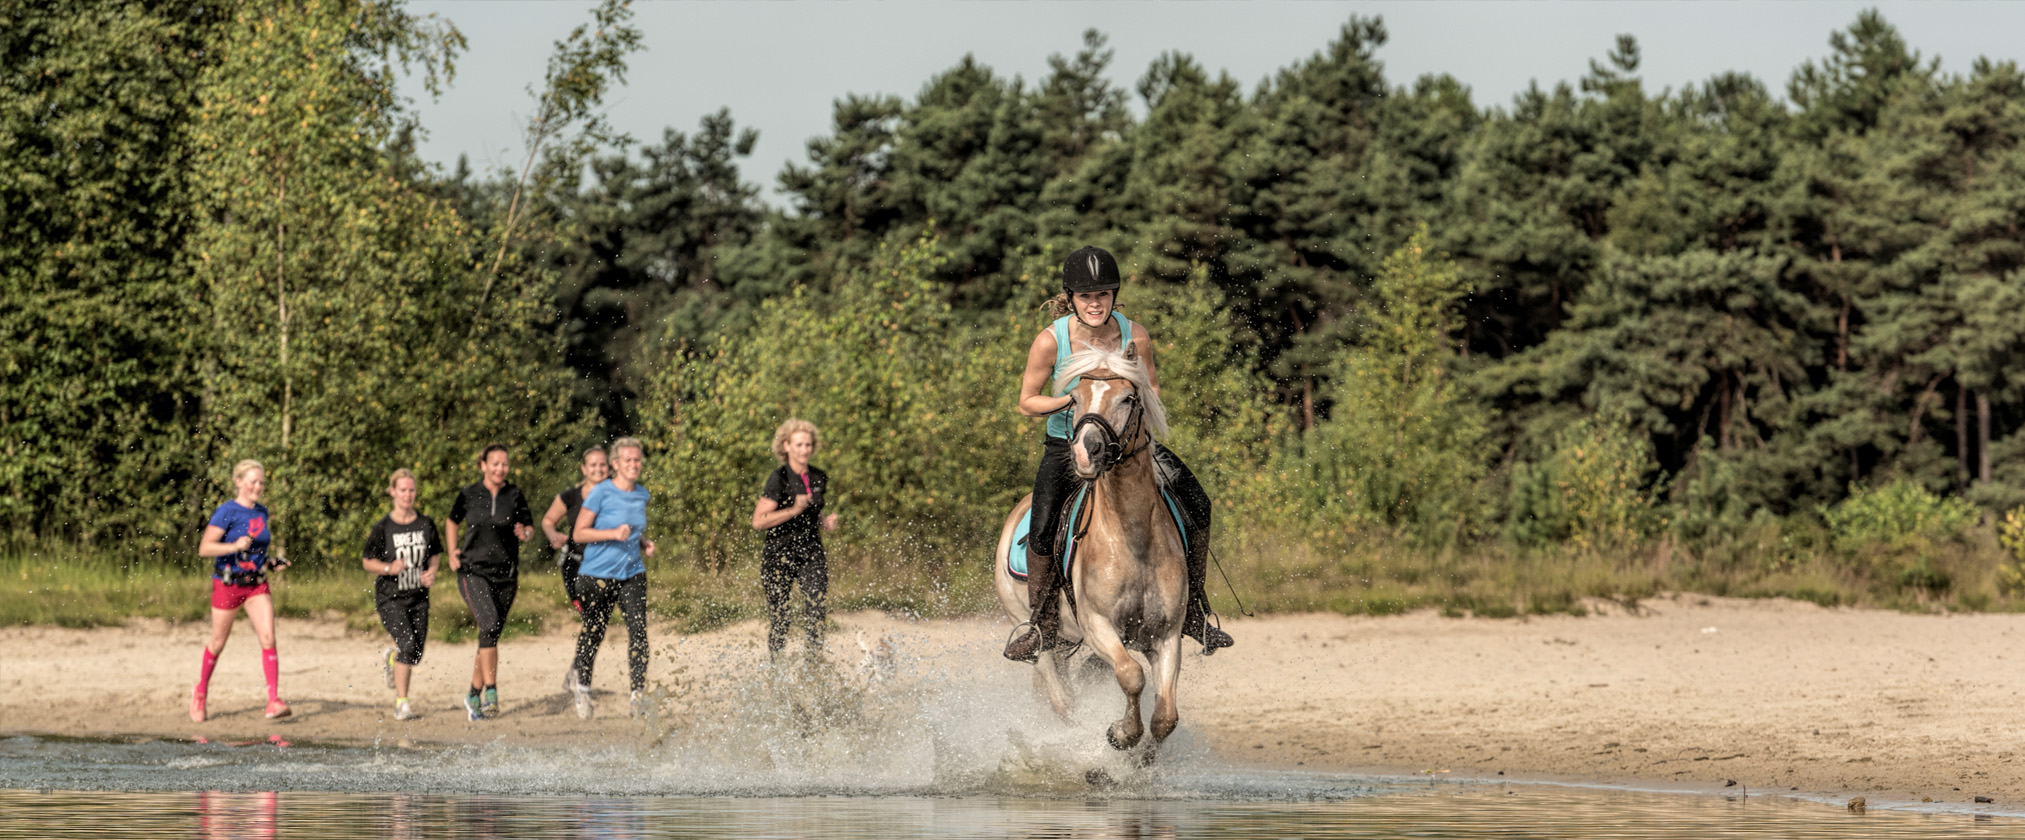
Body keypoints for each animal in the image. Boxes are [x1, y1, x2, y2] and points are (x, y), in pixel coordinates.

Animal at [992, 342, 1190, 761]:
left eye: (1128, 397)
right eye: (1074, 398)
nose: (1086, 453)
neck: (1133, 538)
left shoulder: (1166, 635)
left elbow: (1165, 717)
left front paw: (1141, 758)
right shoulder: (1098, 625)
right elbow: (1131, 675)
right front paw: (1121, 734)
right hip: (1037, 633)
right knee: (1063, 702)